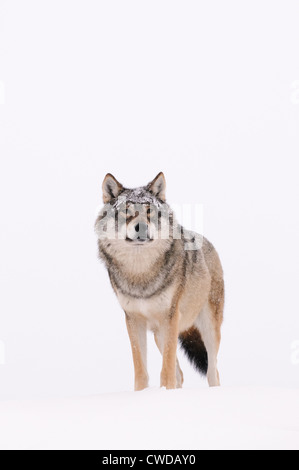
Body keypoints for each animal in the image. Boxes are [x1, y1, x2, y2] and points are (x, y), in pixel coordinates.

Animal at [95, 173, 224, 390]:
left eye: (149, 212)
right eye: (127, 212)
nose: (141, 228)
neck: (141, 273)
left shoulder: (169, 317)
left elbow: (167, 370)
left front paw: (165, 389)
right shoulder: (133, 320)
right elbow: (141, 370)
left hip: (207, 329)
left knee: (213, 372)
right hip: (159, 334)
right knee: (181, 374)